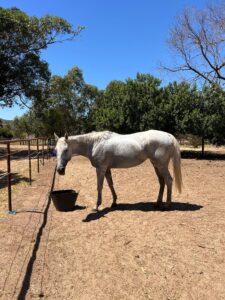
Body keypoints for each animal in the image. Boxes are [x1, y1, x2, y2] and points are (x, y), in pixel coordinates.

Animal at [55, 131, 183, 211]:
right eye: (56, 149)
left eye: (66, 150)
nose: (60, 170)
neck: (94, 143)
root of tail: (168, 135)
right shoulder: (107, 169)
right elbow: (110, 184)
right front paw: (114, 202)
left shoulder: (100, 169)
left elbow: (99, 186)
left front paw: (96, 206)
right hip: (156, 165)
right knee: (162, 182)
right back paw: (157, 203)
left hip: (162, 165)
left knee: (169, 180)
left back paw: (166, 205)